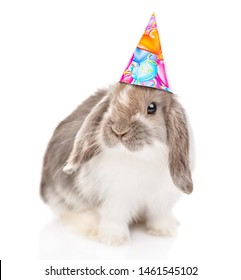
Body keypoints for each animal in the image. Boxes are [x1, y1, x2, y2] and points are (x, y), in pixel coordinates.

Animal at [40, 82, 193, 244]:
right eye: (111, 105)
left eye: (152, 107)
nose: (119, 130)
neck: (140, 156)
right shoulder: (115, 198)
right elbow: (115, 218)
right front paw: (114, 240)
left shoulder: (161, 200)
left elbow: (159, 215)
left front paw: (164, 231)